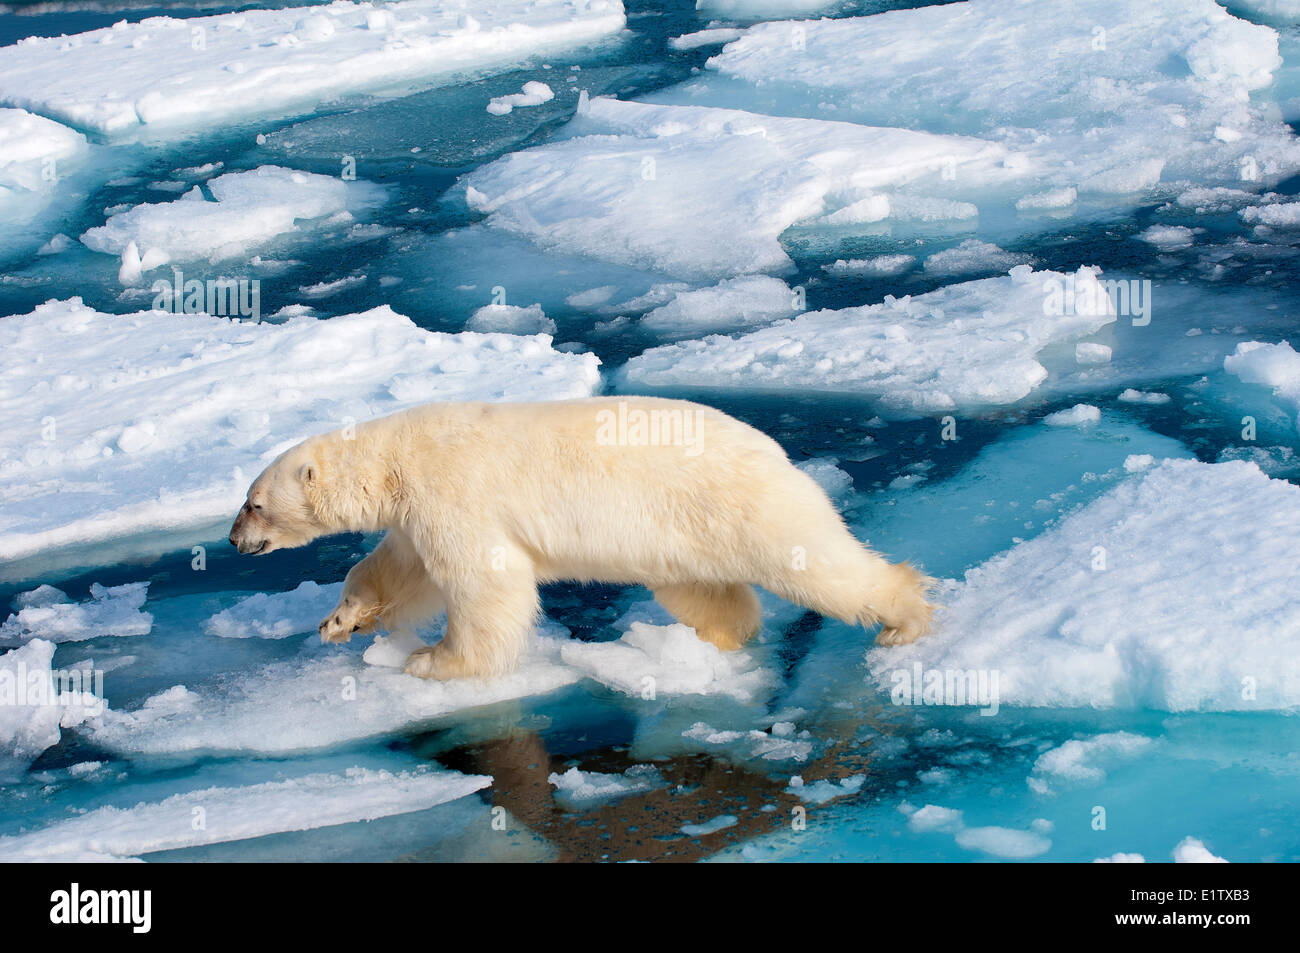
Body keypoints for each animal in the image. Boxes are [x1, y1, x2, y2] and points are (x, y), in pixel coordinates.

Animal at [228, 395, 930, 676]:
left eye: (253, 503)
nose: (233, 540)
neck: (395, 460)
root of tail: (777, 452)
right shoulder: (416, 515)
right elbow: (400, 570)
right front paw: (339, 621)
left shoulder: (455, 491)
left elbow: (485, 582)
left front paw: (434, 662)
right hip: (679, 536)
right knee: (704, 590)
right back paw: (714, 638)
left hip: (747, 507)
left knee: (817, 565)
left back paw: (906, 619)